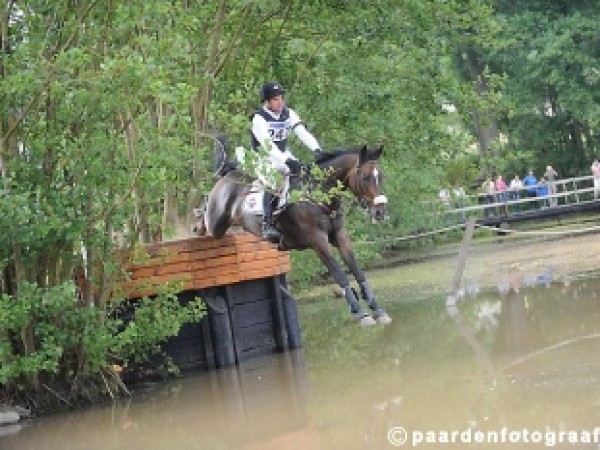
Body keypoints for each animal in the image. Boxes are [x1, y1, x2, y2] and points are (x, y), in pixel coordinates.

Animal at [196, 146, 394, 326]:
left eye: (381, 176)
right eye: (365, 177)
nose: (380, 212)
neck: (320, 194)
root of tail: (226, 176)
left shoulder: (339, 235)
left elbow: (358, 271)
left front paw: (377, 310)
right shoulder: (318, 241)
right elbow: (340, 275)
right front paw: (361, 313)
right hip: (216, 224)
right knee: (205, 219)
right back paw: (197, 221)